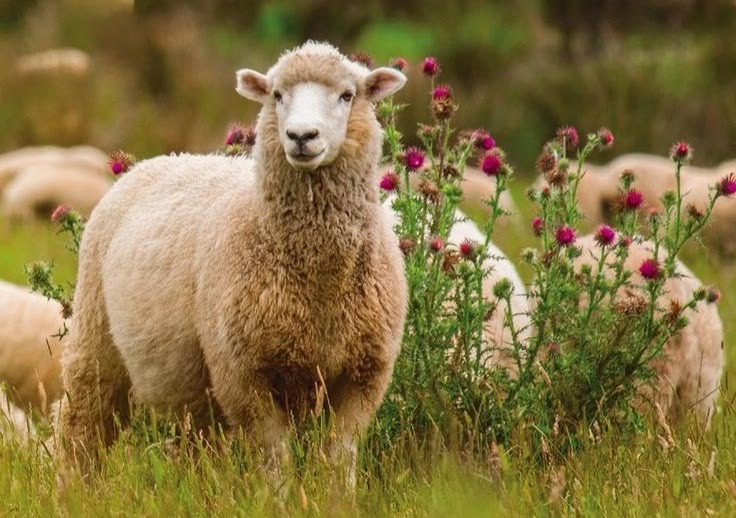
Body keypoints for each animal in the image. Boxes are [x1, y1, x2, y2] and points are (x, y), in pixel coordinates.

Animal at [56, 42, 409, 484]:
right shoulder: (243, 374)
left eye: (348, 95)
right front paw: (279, 496)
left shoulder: (364, 374)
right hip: (96, 337)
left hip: (191, 388)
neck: (320, 285)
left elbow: (338, 457)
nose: (301, 136)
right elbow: (275, 458)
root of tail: (162, 159)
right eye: (276, 95)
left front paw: (337, 496)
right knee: (81, 424)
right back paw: (73, 487)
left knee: (193, 445)